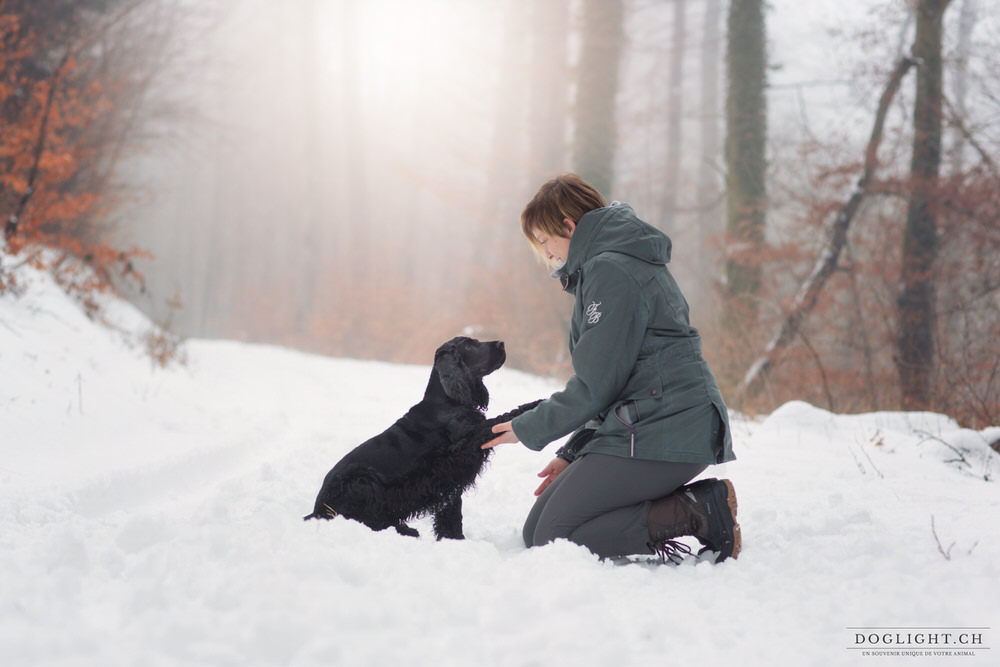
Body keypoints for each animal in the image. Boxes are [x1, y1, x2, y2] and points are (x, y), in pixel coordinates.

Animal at [302, 336, 540, 540]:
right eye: (468, 345)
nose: (501, 343)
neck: (448, 401)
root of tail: (317, 509)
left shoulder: (449, 479)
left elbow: (452, 514)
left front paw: (454, 540)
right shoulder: (464, 447)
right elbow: (499, 420)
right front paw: (534, 404)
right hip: (361, 481)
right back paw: (405, 530)